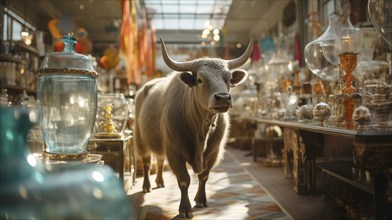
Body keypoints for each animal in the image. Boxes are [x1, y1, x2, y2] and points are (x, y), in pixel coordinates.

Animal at [133, 36, 253, 218]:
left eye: (228, 79)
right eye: (200, 80)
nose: (223, 98)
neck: (201, 130)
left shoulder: (213, 152)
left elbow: (203, 177)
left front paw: (201, 200)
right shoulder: (175, 152)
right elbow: (184, 180)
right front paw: (185, 208)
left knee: (159, 160)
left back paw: (160, 182)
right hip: (141, 140)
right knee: (146, 162)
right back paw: (146, 186)